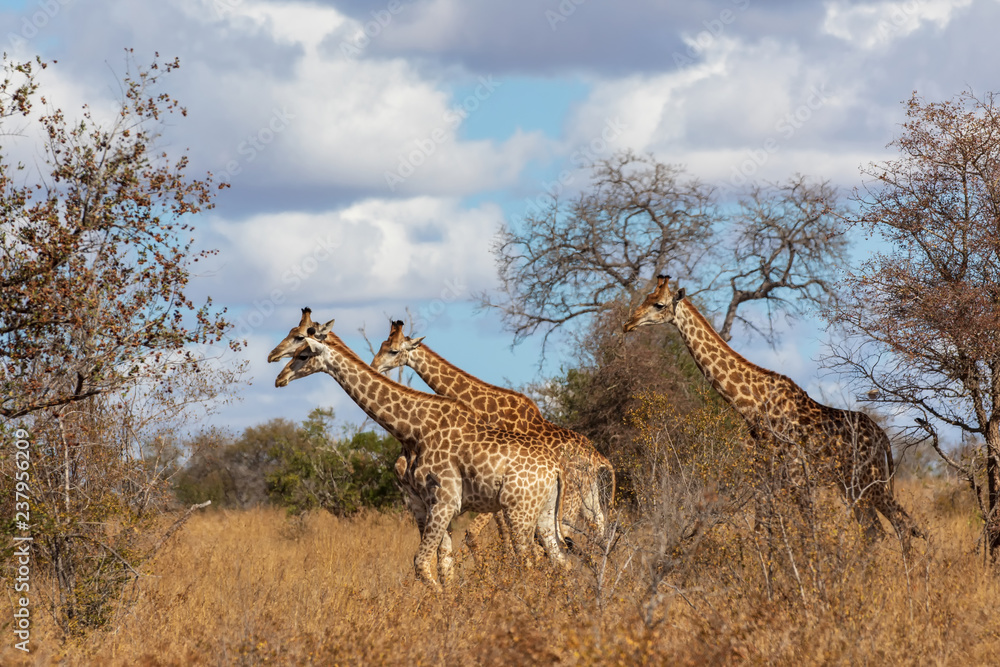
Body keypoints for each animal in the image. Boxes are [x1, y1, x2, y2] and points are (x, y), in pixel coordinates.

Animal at [273, 326, 569, 590]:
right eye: (295, 350)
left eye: (303, 354)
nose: (279, 379)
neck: (412, 430)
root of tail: (556, 470)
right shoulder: (427, 503)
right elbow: (444, 565)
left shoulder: (445, 502)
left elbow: (421, 563)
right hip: (544, 512)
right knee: (560, 561)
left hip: (518, 510)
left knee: (530, 562)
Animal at [371, 320, 615, 553]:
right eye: (382, 345)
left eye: (392, 350)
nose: (374, 366)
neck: (487, 408)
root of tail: (599, 458)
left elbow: (496, 532)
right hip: (588, 495)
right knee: (599, 528)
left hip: (570, 496)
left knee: (568, 533)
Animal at [623, 275, 924, 549]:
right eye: (646, 298)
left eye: (659, 304)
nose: (628, 323)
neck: (752, 404)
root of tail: (883, 438)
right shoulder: (765, 471)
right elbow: (764, 528)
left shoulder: (796, 472)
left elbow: (806, 528)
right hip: (851, 485)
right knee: (876, 532)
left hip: (870, 479)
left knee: (902, 525)